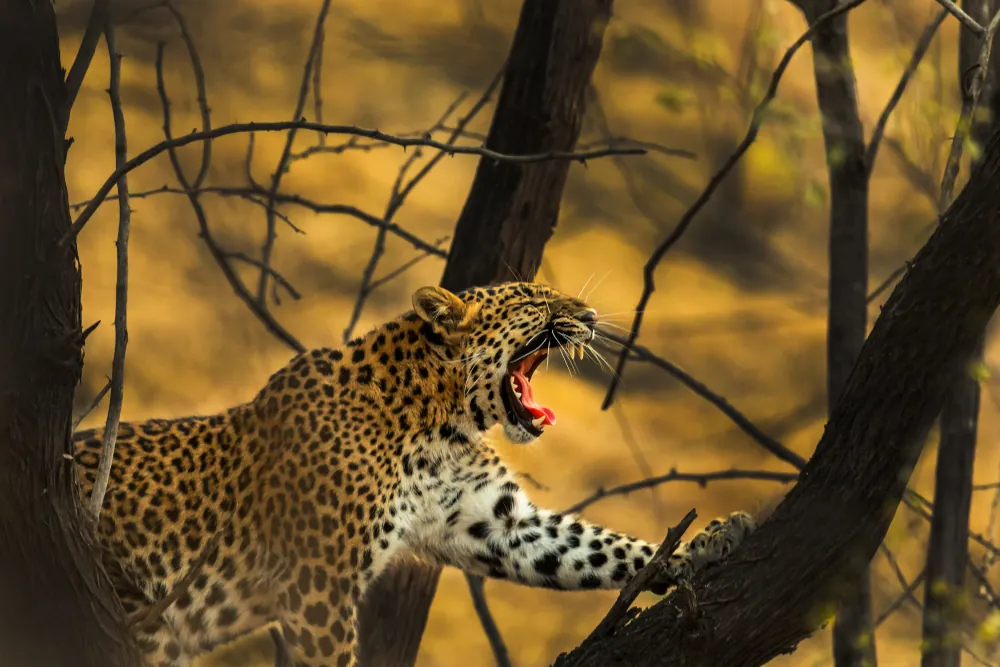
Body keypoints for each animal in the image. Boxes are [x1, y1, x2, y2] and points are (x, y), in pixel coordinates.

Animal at [72, 281, 756, 667]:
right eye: (535, 301)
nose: (589, 315)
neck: (440, 426)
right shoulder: (318, 583)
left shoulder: (496, 523)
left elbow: (599, 548)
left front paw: (709, 542)